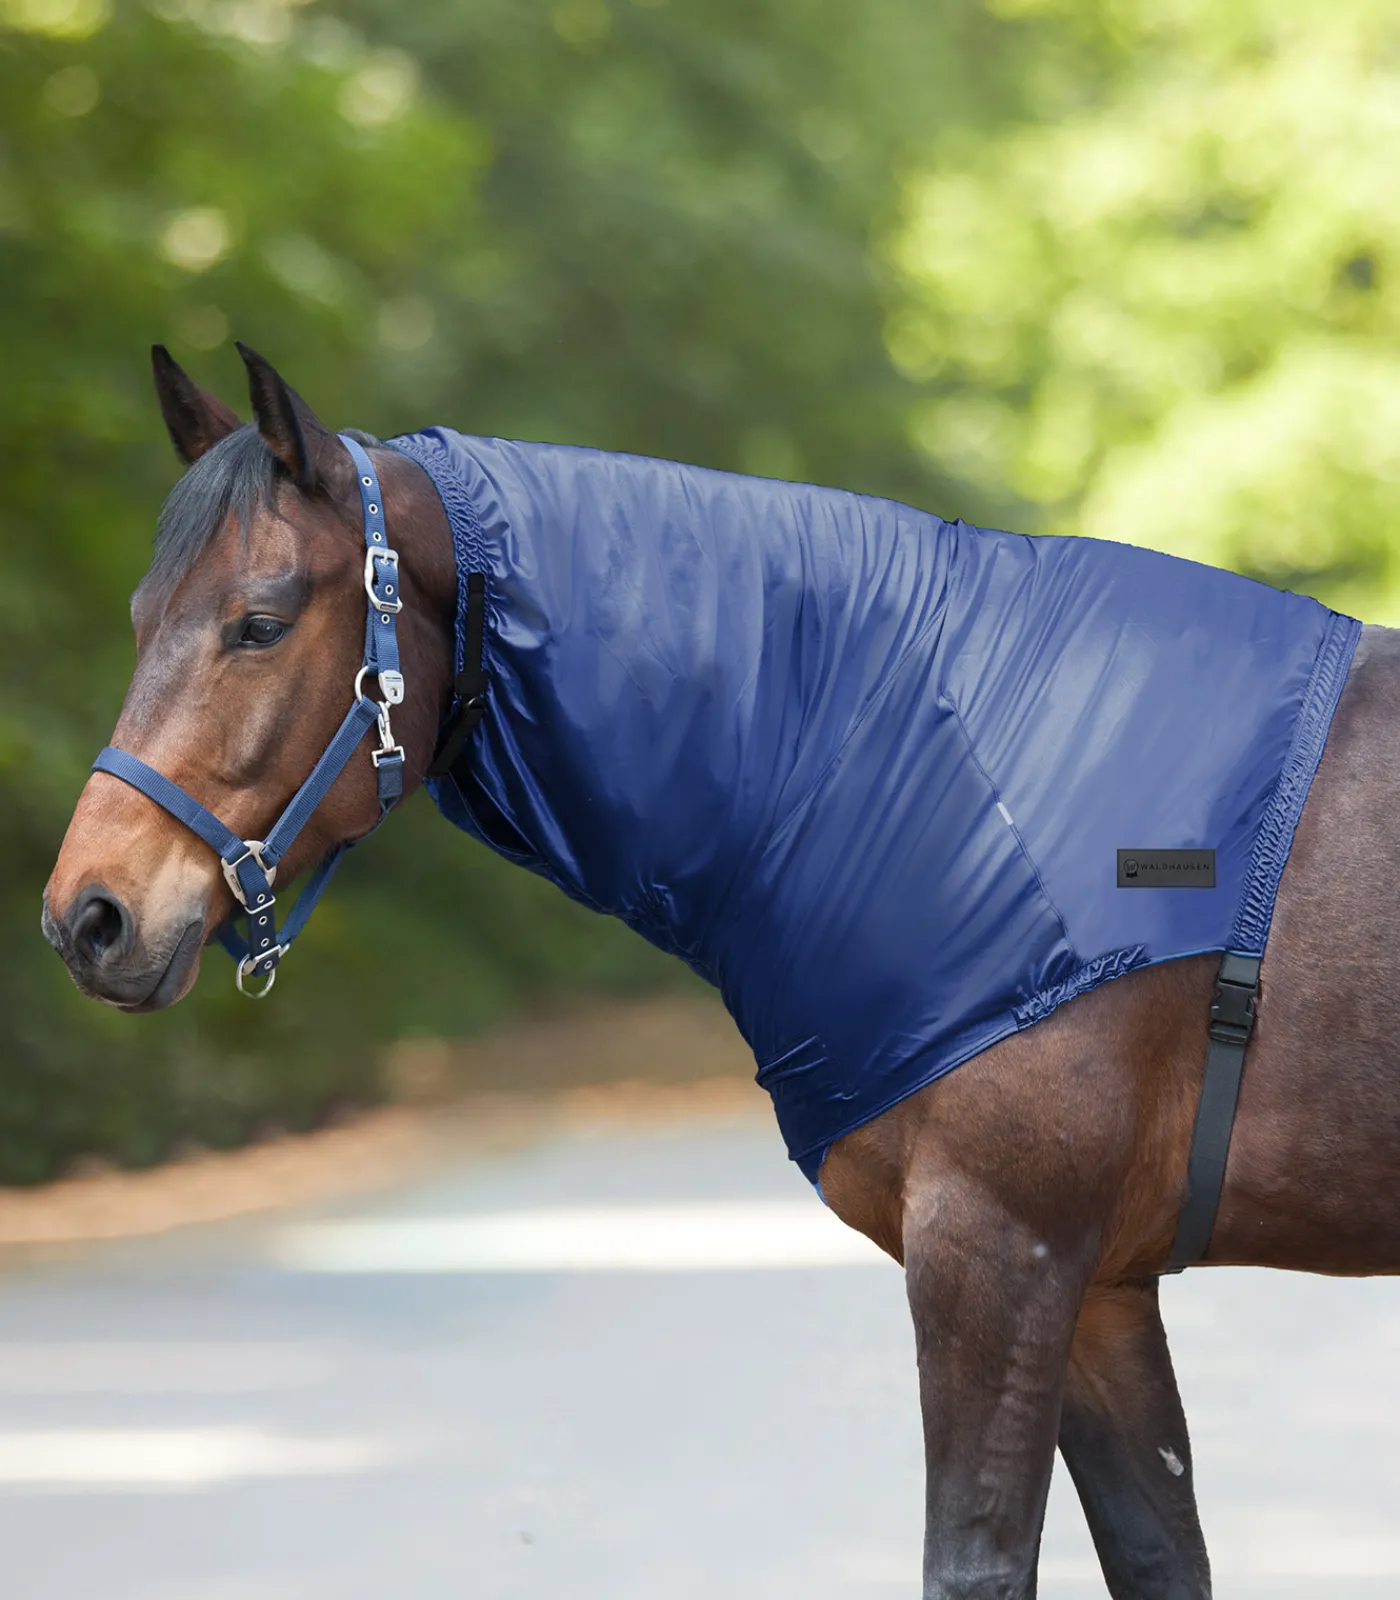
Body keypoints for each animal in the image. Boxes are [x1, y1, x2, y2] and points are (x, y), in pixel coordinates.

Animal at [42, 345, 1400, 1599]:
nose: (89, 915)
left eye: (260, 622)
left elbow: (971, 1562)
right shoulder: (1101, 1287)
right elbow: (1161, 1556)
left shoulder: (1000, 1257)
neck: (934, 753)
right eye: (138, 618)